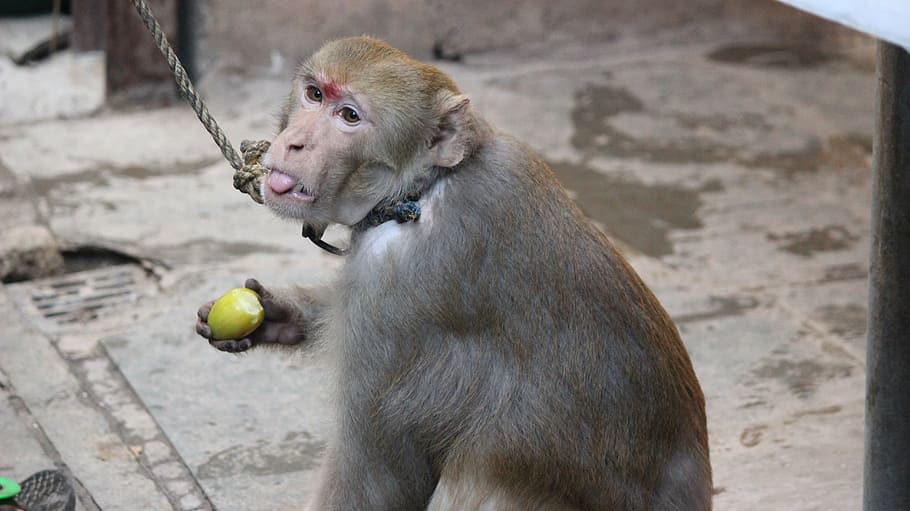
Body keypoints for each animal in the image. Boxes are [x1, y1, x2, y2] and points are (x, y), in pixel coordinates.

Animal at [195, 36, 711, 510]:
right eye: (314, 94)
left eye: (350, 117)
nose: (295, 142)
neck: (419, 192)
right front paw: (280, 316)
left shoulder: (392, 296)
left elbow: (378, 474)